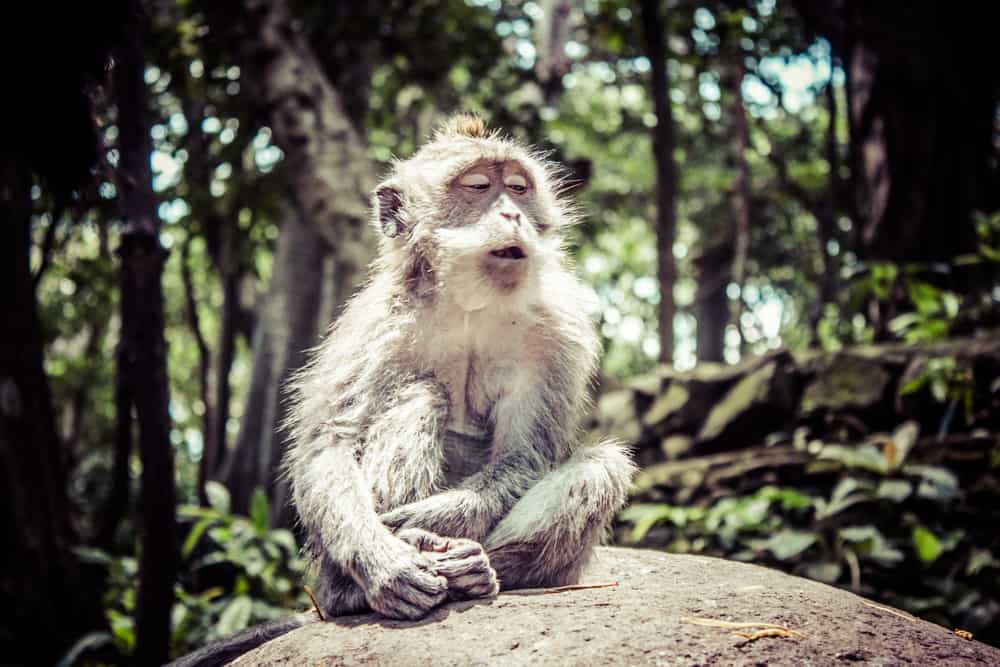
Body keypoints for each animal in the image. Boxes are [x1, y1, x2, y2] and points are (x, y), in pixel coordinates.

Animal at [167, 112, 628, 664]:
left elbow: (524, 455)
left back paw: (472, 566)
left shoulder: (557, 332)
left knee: (601, 469)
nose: (512, 214)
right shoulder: (375, 323)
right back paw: (357, 591)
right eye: (478, 187)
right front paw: (384, 556)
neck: (469, 303)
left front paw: (421, 523)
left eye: (518, 188)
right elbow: (330, 442)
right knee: (419, 395)